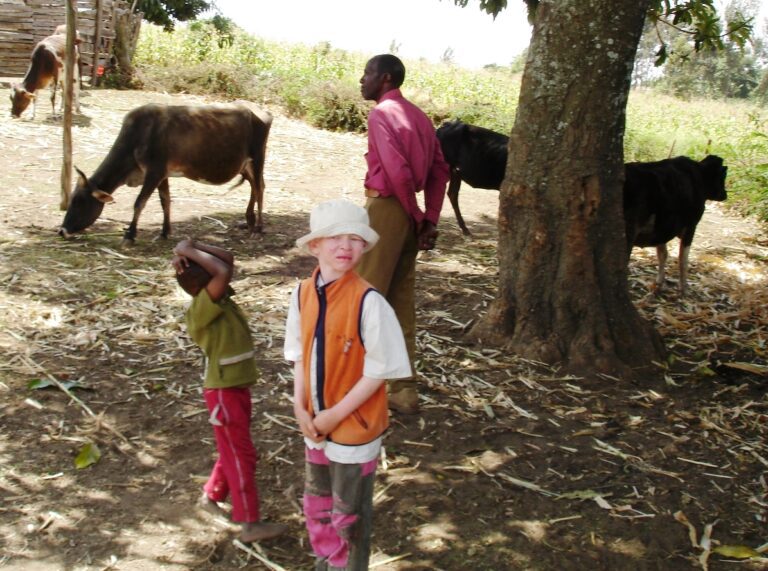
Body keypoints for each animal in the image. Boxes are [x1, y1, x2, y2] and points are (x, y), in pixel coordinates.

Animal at [61, 103, 274, 246]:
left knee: (260, 188)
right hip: (245, 165)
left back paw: (258, 228)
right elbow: (165, 201)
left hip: (257, 158)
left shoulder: (154, 172)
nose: (62, 231)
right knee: (255, 186)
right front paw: (164, 232)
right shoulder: (162, 174)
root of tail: (260, 110)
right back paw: (249, 221)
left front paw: (130, 235)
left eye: (79, 202)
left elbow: (139, 202)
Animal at [624, 154, 728, 294]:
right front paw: (683, 288)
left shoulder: (662, 229)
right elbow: (683, 258)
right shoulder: (691, 226)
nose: (725, 194)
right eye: (723, 175)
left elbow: (663, 254)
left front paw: (659, 283)